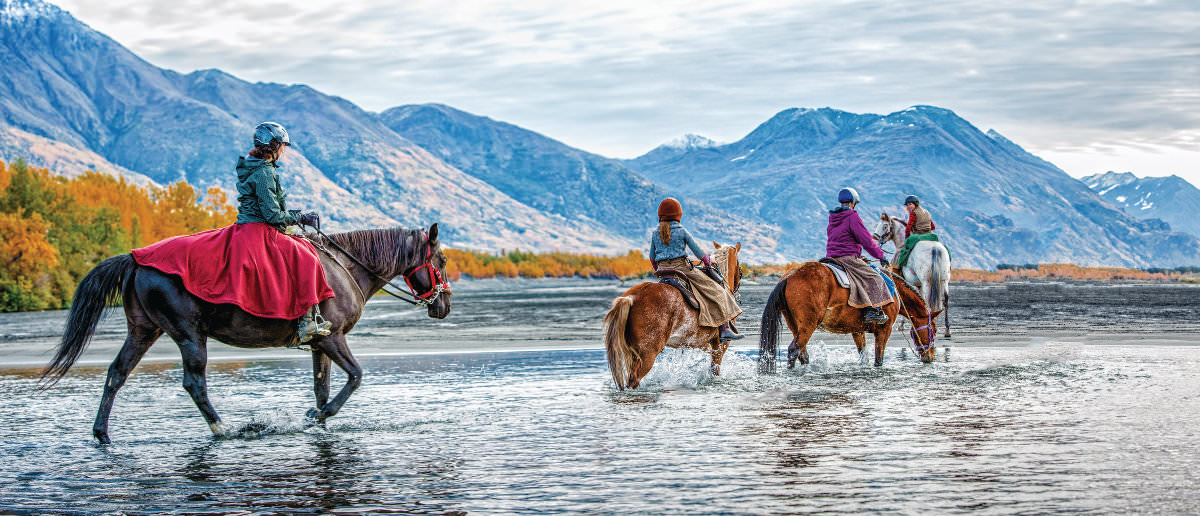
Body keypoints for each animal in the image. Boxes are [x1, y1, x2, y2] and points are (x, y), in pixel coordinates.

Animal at [41, 223, 451, 441]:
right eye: (443, 259)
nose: (444, 305)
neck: (345, 267)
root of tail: (135, 258)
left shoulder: (319, 344)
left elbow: (322, 387)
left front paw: (316, 419)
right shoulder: (333, 338)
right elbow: (355, 377)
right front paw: (317, 415)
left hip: (143, 330)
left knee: (116, 374)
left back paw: (101, 434)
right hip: (189, 334)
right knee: (194, 383)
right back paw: (224, 429)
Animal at [600, 243, 739, 388]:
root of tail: (631, 297)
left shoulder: (704, 345)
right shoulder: (720, 347)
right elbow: (715, 371)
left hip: (634, 355)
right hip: (647, 355)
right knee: (634, 380)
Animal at [758, 261, 936, 372]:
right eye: (933, 330)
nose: (930, 357)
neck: (894, 292)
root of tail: (788, 277)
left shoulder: (857, 331)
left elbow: (863, 356)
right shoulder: (884, 330)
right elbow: (878, 360)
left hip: (794, 325)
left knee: (802, 353)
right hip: (808, 325)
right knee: (794, 350)